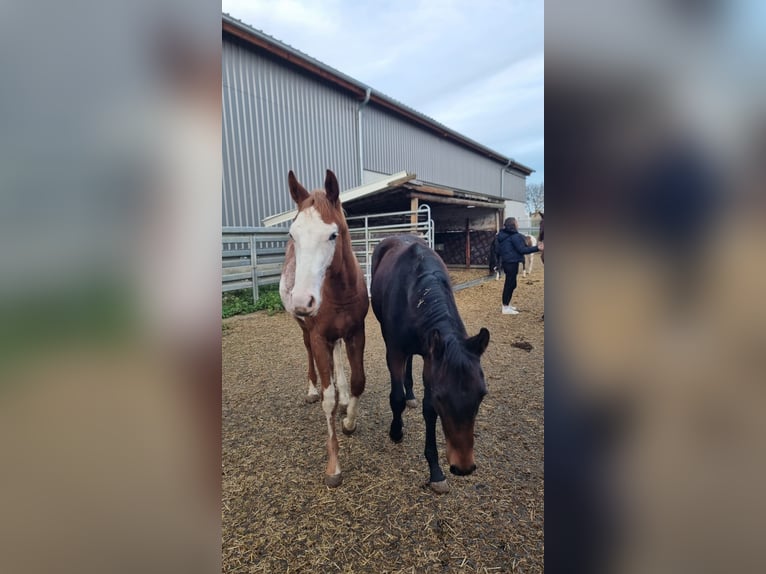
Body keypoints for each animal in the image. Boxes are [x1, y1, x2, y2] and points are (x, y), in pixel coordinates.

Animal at [279, 169, 369, 488]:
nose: (303, 300)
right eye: (293, 234)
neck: (339, 292)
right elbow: (327, 401)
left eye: (333, 234)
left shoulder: (356, 332)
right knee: (309, 354)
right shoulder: (318, 337)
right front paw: (333, 467)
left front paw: (349, 420)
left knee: (337, 356)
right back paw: (311, 390)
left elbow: (358, 381)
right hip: (305, 331)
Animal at [370, 235, 490, 493]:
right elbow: (396, 397)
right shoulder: (395, 352)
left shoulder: (430, 358)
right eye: (442, 398)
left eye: (482, 395)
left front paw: (435, 471)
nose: (463, 467)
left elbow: (428, 411)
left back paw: (411, 394)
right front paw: (396, 432)